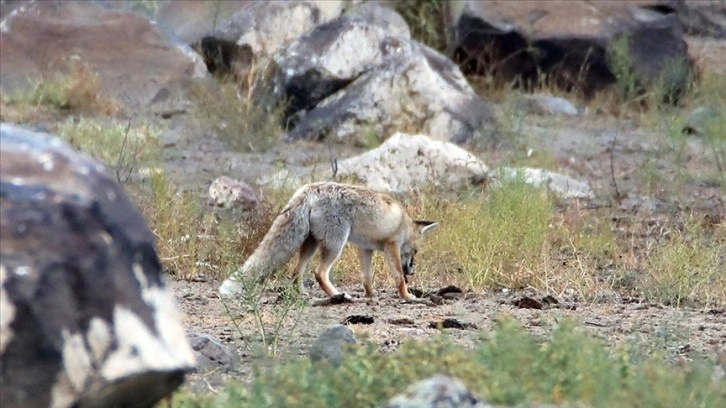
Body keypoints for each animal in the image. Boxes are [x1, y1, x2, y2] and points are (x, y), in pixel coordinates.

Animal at [219, 182, 440, 300]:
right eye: (415, 252)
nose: (412, 271)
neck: (402, 222)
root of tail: (307, 189)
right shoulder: (391, 246)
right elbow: (397, 277)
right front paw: (407, 296)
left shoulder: (365, 248)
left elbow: (366, 277)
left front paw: (370, 295)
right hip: (335, 244)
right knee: (320, 273)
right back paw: (337, 295)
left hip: (311, 243)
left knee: (296, 272)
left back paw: (303, 294)